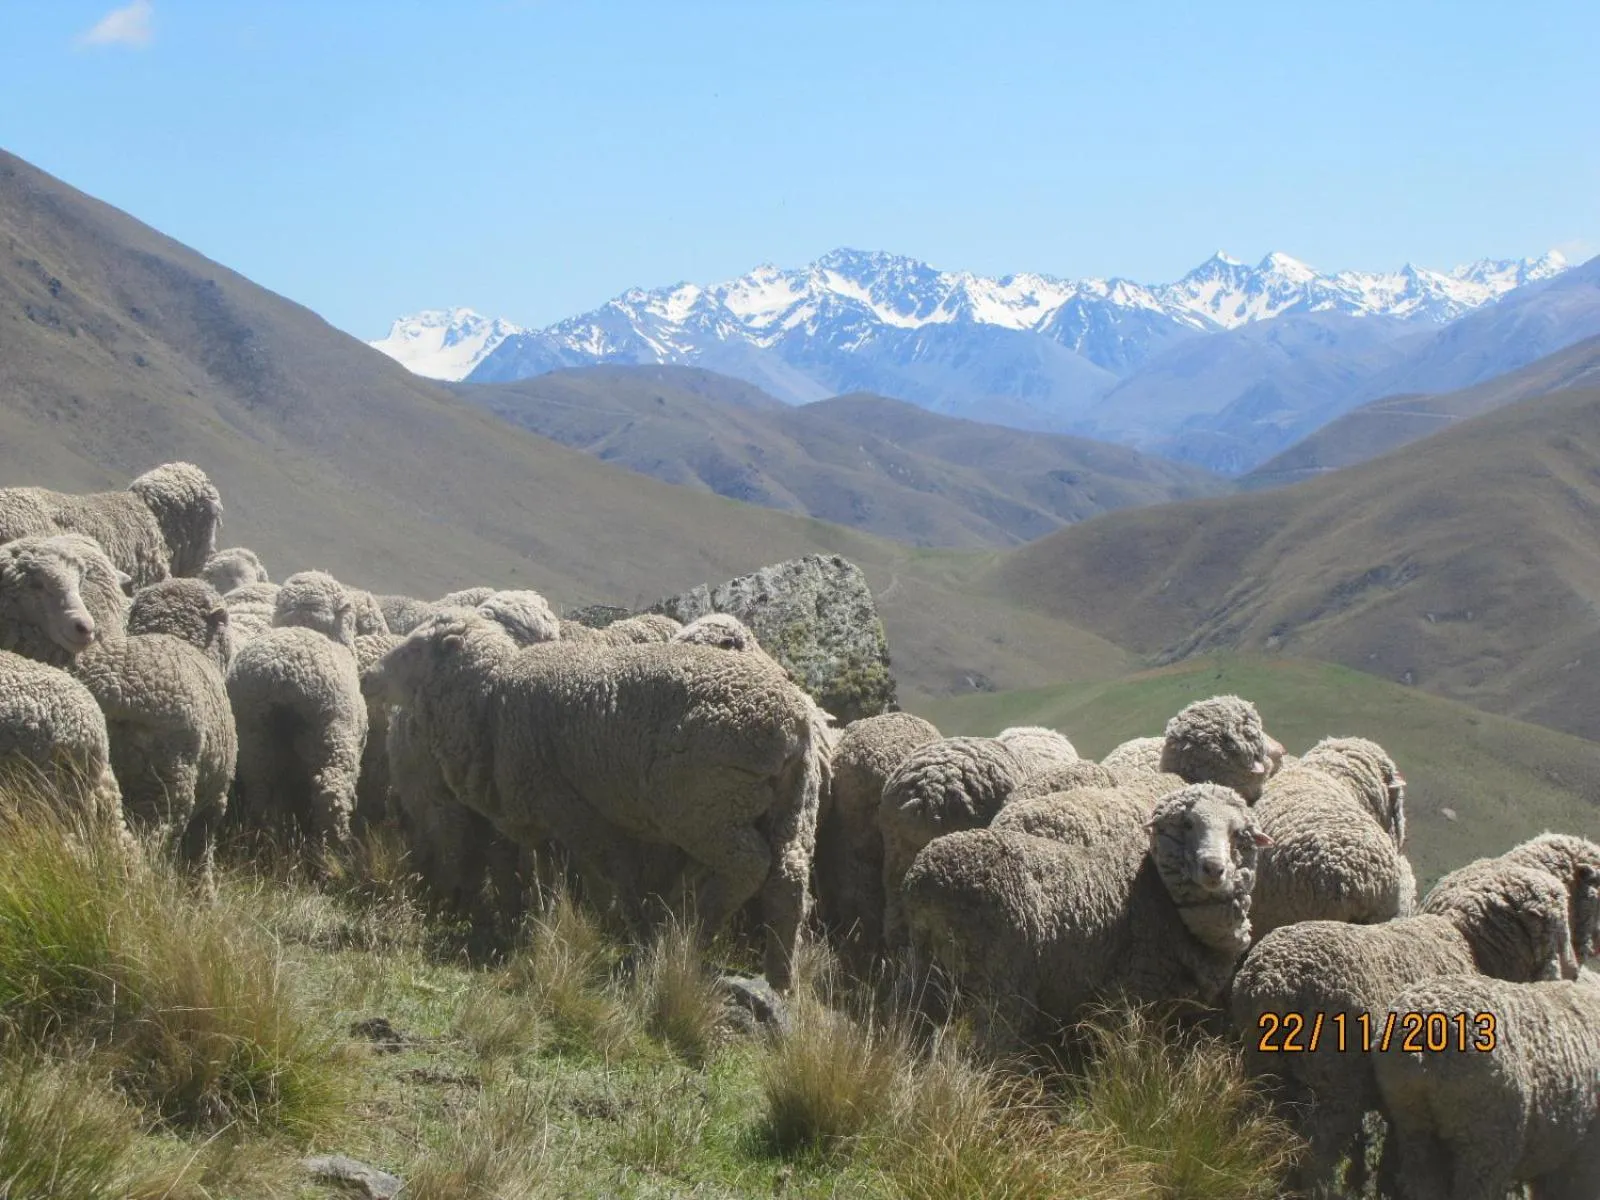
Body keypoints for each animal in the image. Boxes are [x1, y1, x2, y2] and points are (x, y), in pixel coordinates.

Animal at [367, 610, 826, 988]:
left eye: (415, 650)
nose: (369, 676)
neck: (490, 698)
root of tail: (794, 721)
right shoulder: (546, 819)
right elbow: (548, 872)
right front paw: (549, 917)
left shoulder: (570, 808)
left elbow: (610, 870)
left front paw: (630, 925)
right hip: (793, 804)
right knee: (789, 878)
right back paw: (780, 976)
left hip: (706, 806)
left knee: (749, 866)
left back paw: (694, 931)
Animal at [902, 783, 1270, 1052]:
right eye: (1188, 823)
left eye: (1238, 832)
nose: (1214, 868)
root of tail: (927, 877)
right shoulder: (1128, 993)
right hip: (1000, 978)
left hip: (927, 969)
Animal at [1229, 864, 1578, 1197]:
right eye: (1559, 925)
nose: (1573, 971)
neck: (1467, 943)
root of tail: (1273, 981)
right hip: (1334, 1079)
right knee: (1317, 1149)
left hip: (1266, 1068)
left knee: (1261, 1124)